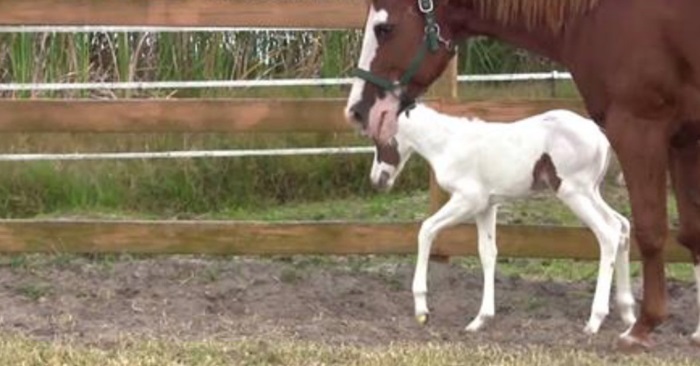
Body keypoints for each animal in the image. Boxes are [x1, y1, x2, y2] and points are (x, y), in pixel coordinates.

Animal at [370, 103, 636, 334]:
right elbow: (488, 253)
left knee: (609, 232)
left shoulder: (468, 200)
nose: (377, 180)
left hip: (575, 193)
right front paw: (480, 319)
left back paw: (595, 320)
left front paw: (421, 310)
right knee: (622, 225)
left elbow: (426, 229)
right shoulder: (486, 207)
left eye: (379, 140)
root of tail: (600, 135)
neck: (448, 144)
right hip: (591, 192)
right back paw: (628, 314)